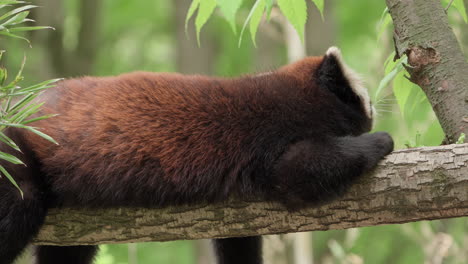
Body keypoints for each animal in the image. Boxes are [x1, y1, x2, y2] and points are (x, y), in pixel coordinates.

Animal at [0, 47, 392, 264]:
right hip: (17, 164)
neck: (303, 96)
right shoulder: (275, 140)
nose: (378, 106)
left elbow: (238, 243)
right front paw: (381, 140)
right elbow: (303, 173)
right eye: (364, 96)